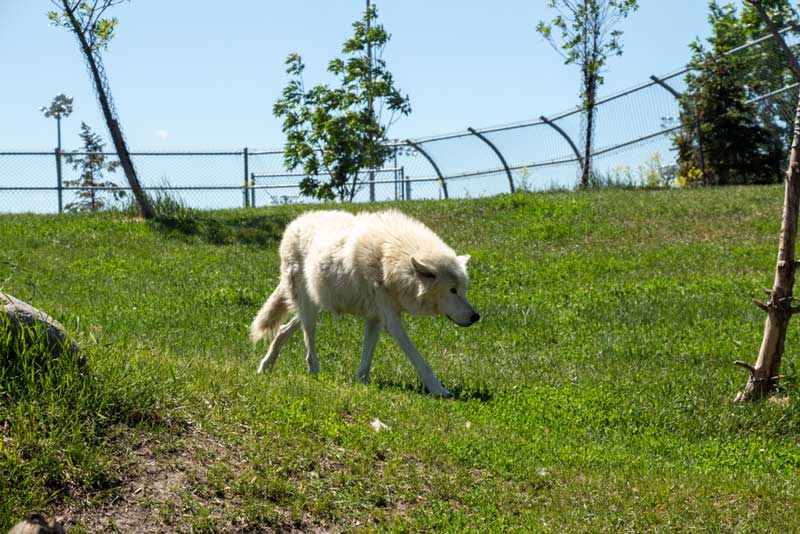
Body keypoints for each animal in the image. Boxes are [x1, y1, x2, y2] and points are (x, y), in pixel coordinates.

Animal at [250, 209, 478, 398]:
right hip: (309, 309)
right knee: (308, 347)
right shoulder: (392, 322)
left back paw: (265, 367)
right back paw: (314, 373)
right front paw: (439, 390)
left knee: (282, 329)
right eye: (452, 290)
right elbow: (419, 360)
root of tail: (294, 223)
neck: (390, 260)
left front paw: (362, 382)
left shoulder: (376, 318)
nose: (476, 316)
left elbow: (367, 357)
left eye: (463, 289)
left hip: (316, 307)